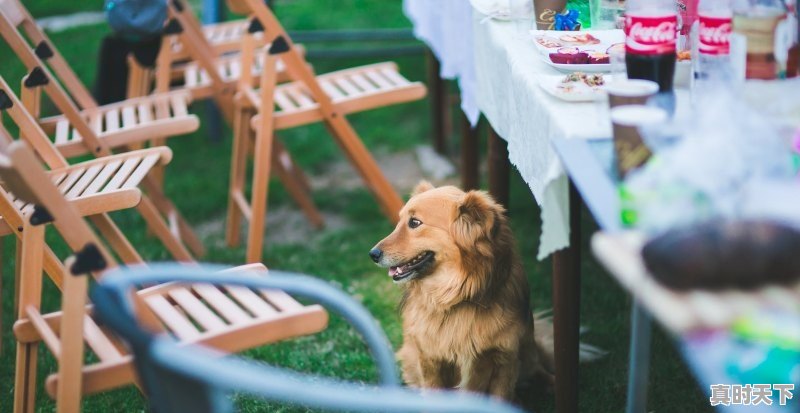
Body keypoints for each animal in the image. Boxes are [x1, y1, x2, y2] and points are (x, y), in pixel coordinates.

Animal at [372, 183, 560, 400]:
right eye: (400, 221)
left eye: (415, 222)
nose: (372, 254)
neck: (456, 296)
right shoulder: (431, 359)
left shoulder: (504, 358)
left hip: (527, 351)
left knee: (537, 368)